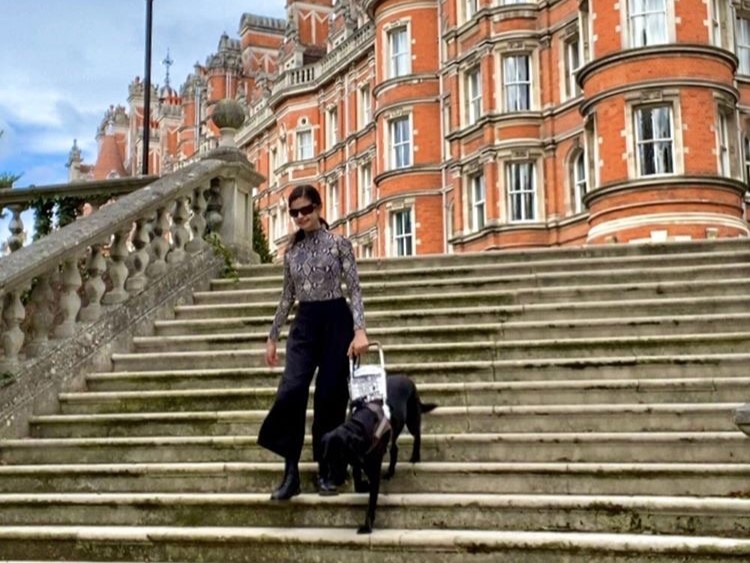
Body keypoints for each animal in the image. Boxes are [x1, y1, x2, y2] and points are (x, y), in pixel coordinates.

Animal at [320, 376, 438, 536]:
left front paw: (367, 526)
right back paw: (389, 472)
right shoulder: (358, 459)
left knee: (417, 435)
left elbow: (371, 501)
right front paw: (364, 485)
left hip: (412, 419)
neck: (359, 426)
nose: (331, 481)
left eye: (340, 458)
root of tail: (406, 378)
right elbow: (358, 480)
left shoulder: (372, 468)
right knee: (394, 449)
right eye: (326, 458)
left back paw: (415, 457)